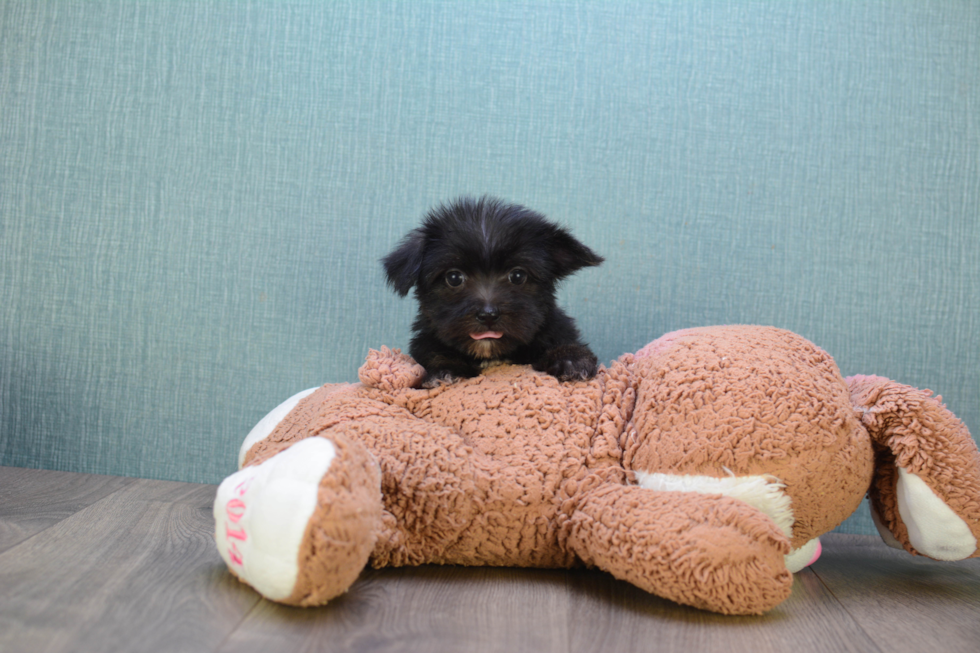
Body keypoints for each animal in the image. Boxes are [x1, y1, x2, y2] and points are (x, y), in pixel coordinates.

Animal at [384, 196, 604, 384]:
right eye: (454, 278)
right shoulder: (426, 343)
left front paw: (571, 359)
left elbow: (563, 343)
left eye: (518, 275)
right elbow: (435, 354)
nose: (488, 315)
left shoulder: (557, 329)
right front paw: (444, 370)